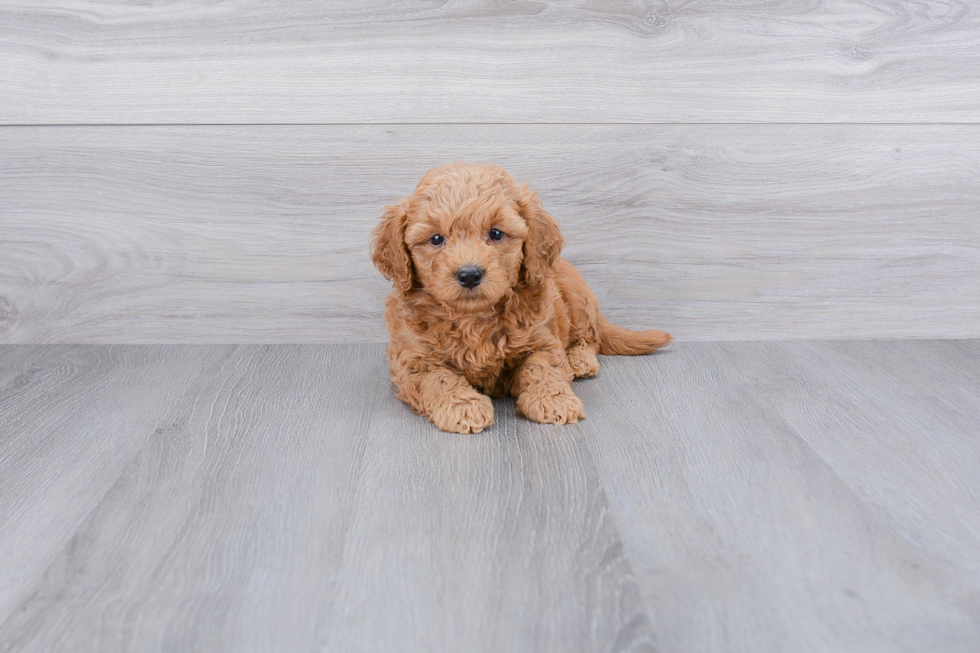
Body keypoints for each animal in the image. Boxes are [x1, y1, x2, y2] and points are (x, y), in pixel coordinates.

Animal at [372, 162, 668, 432]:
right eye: (435, 239)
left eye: (496, 233)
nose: (469, 275)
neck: (473, 318)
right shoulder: (413, 361)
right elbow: (439, 378)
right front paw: (463, 406)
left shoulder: (542, 340)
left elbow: (543, 367)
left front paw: (554, 400)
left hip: (578, 298)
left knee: (589, 337)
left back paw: (580, 359)